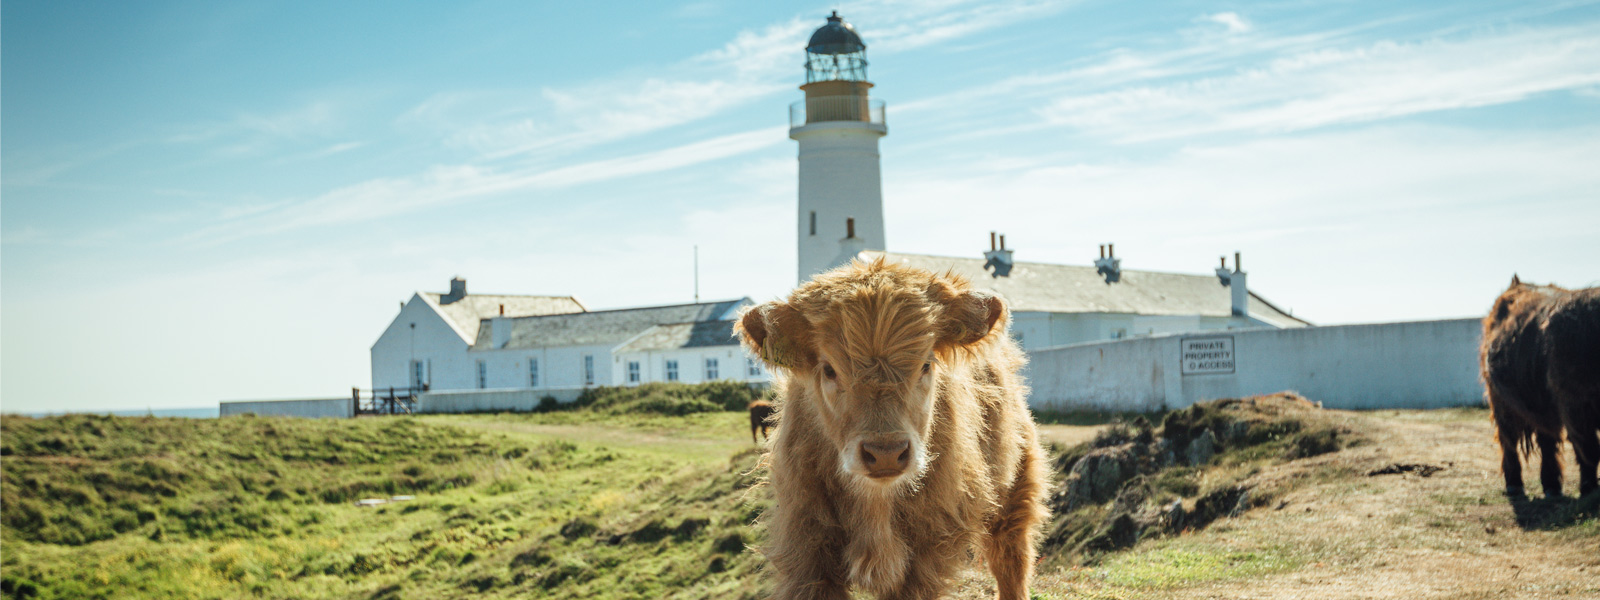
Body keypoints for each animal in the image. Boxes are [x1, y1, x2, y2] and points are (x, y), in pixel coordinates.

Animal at [736, 259, 1049, 600]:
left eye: (926, 364)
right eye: (829, 370)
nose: (885, 453)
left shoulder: (928, 551)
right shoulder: (805, 545)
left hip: (1015, 491)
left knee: (1010, 561)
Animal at [1478, 276, 1593, 499]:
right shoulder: (1574, 405)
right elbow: (1588, 448)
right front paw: (1590, 490)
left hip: (1541, 405)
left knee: (1546, 440)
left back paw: (1552, 486)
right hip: (1502, 402)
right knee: (1509, 439)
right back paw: (1515, 484)